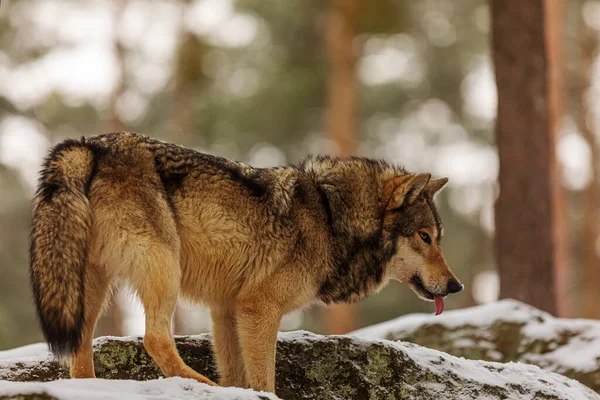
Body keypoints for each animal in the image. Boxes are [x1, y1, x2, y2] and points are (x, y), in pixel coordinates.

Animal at [29, 132, 464, 394]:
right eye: (424, 237)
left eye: (438, 238)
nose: (456, 286)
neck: (329, 216)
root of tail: (90, 144)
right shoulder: (258, 309)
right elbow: (263, 380)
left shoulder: (227, 310)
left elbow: (239, 375)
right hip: (163, 269)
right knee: (155, 338)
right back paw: (204, 386)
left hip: (89, 288)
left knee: (80, 351)